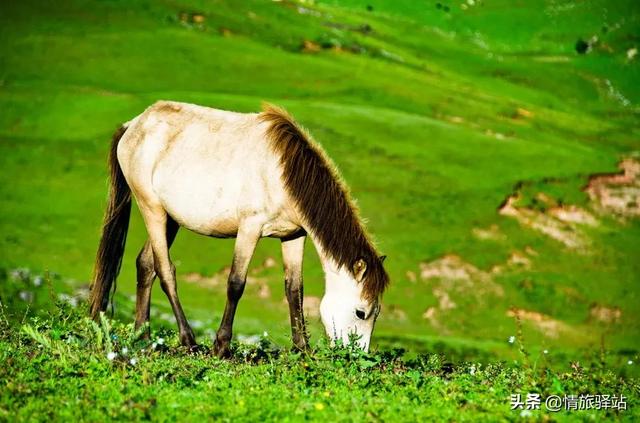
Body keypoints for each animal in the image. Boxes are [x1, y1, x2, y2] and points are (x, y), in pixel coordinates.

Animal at [89, 101, 390, 356]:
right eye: (361, 312)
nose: (355, 357)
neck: (282, 172)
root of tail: (133, 125)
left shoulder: (294, 236)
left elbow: (295, 290)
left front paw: (302, 348)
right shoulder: (249, 228)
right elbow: (236, 283)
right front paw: (221, 346)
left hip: (170, 219)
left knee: (145, 265)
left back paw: (143, 335)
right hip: (152, 209)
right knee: (165, 271)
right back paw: (188, 341)